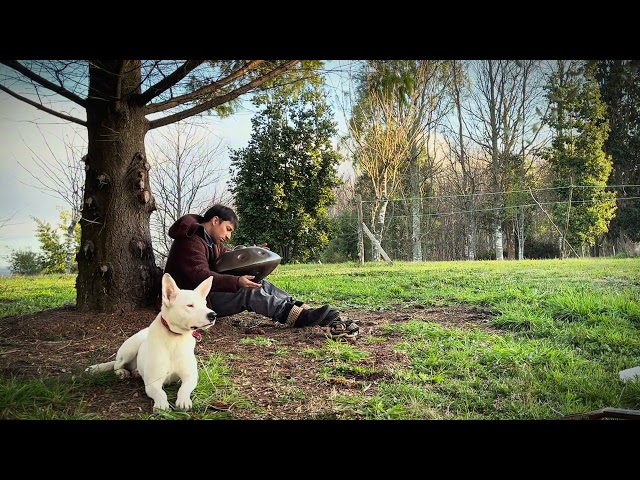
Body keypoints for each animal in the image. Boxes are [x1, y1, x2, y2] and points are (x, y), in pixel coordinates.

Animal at [86, 272, 216, 410]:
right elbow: (161, 393)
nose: (213, 315)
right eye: (190, 305)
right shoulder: (152, 383)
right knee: (117, 364)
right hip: (130, 348)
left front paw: (184, 400)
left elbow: (184, 388)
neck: (176, 339)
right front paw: (161, 404)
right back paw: (122, 372)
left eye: (205, 304)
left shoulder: (190, 377)